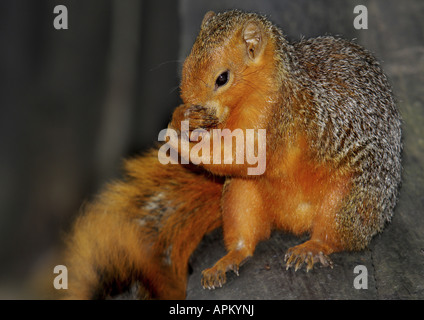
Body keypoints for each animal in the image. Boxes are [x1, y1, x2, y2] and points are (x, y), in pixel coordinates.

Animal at [61, 10, 402, 298]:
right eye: (186, 66)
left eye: (222, 78)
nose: (195, 106)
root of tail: (295, 221)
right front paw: (181, 118)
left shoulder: (278, 118)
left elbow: (244, 155)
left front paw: (180, 140)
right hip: (241, 194)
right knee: (246, 236)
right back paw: (228, 260)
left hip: (350, 200)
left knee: (336, 235)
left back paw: (312, 248)